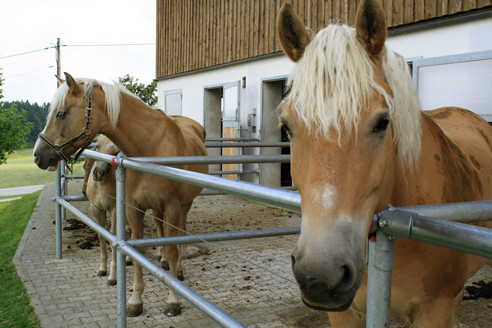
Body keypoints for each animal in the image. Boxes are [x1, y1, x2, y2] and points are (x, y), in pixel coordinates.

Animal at [33, 73, 208, 316]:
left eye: (61, 113)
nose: (38, 155)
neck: (151, 148)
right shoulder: (134, 208)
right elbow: (138, 252)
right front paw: (135, 300)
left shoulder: (172, 206)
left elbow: (173, 249)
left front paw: (172, 301)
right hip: (158, 208)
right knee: (161, 229)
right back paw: (162, 261)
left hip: (184, 205)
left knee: (179, 235)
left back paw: (178, 271)